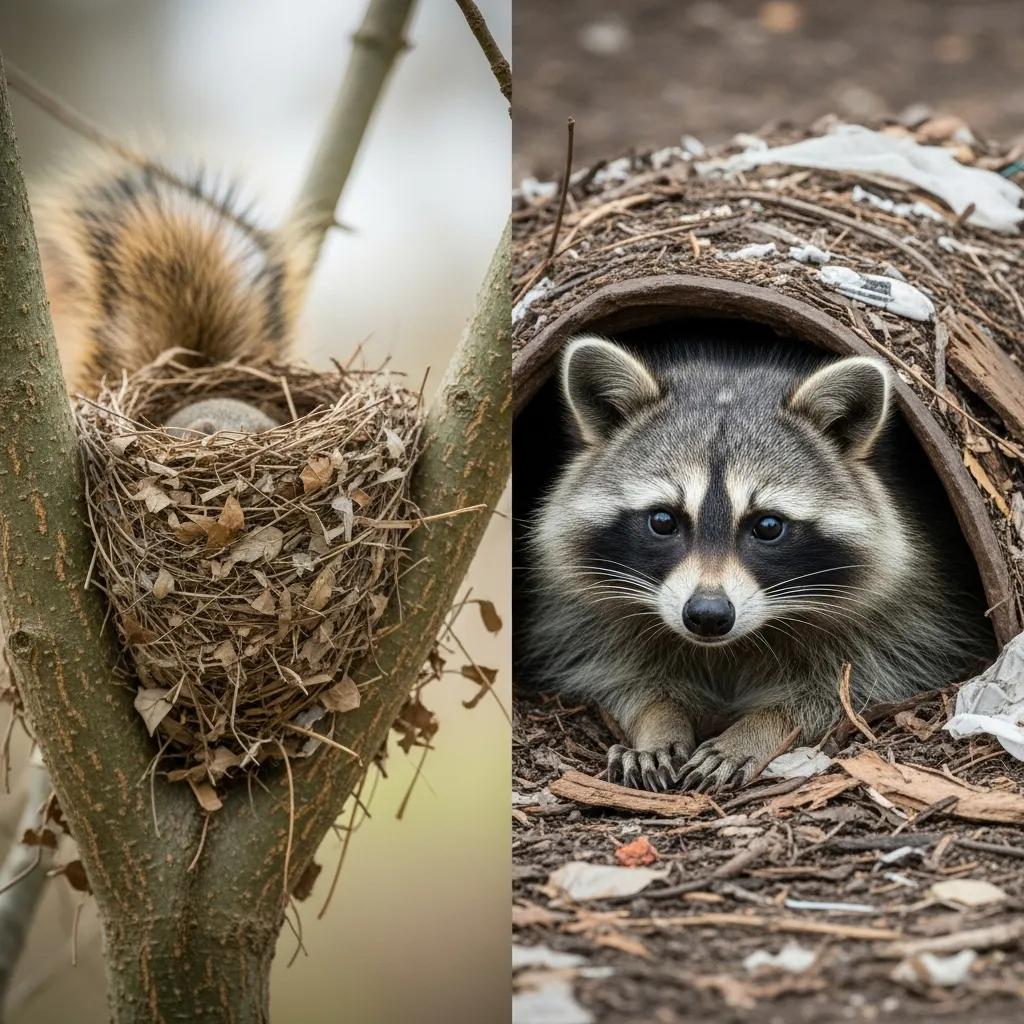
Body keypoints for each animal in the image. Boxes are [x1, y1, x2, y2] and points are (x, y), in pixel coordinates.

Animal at [523, 330, 994, 793]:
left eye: (768, 526)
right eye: (662, 520)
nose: (708, 615)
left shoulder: (913, 614)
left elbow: (847, 689)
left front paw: (757, 728)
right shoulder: (585, 621)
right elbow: (622, 674)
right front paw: (657, 722)